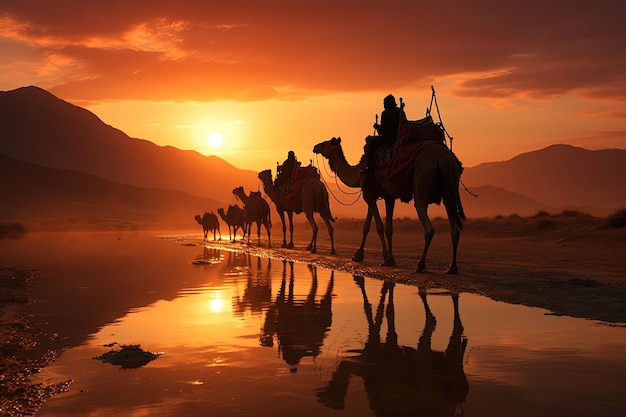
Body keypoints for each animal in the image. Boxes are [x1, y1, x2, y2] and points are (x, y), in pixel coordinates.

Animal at [312, 136, 464, 272]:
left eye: (325, 144)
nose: (315, 147)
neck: (358, 171)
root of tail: (444, 159)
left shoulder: (368, 194)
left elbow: (379, 226)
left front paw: (385, 257)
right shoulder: (384, 196)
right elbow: (378, 227)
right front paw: (361, 255)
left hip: (423, 181)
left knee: (427, 223)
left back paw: (420, 265)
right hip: (450, 190)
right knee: (454, 226)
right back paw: (452, 267)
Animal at [314, 276, 466, 412]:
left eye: (329, 396)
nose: (319, 390)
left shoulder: (383, 351)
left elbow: (378, 312)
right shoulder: (388, 347)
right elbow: (385, 312)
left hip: (428, 380)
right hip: (449, 367)